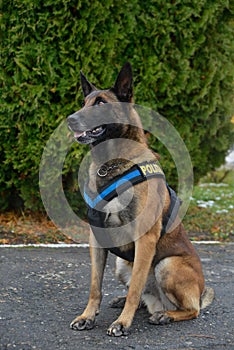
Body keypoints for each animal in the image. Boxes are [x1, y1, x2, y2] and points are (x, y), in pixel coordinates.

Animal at [66, 62, 214, 336]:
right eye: (84, 102)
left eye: (100, 103)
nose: (70, 120)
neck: (112, 166)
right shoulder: (96, 238)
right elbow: (95, 286)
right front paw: (87, 316)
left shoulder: (145, 239)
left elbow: (135, 287)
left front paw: (123, 323)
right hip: (122, 264)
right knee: (144, 297)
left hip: (167, 265)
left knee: (190, 309)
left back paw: (165, 315)